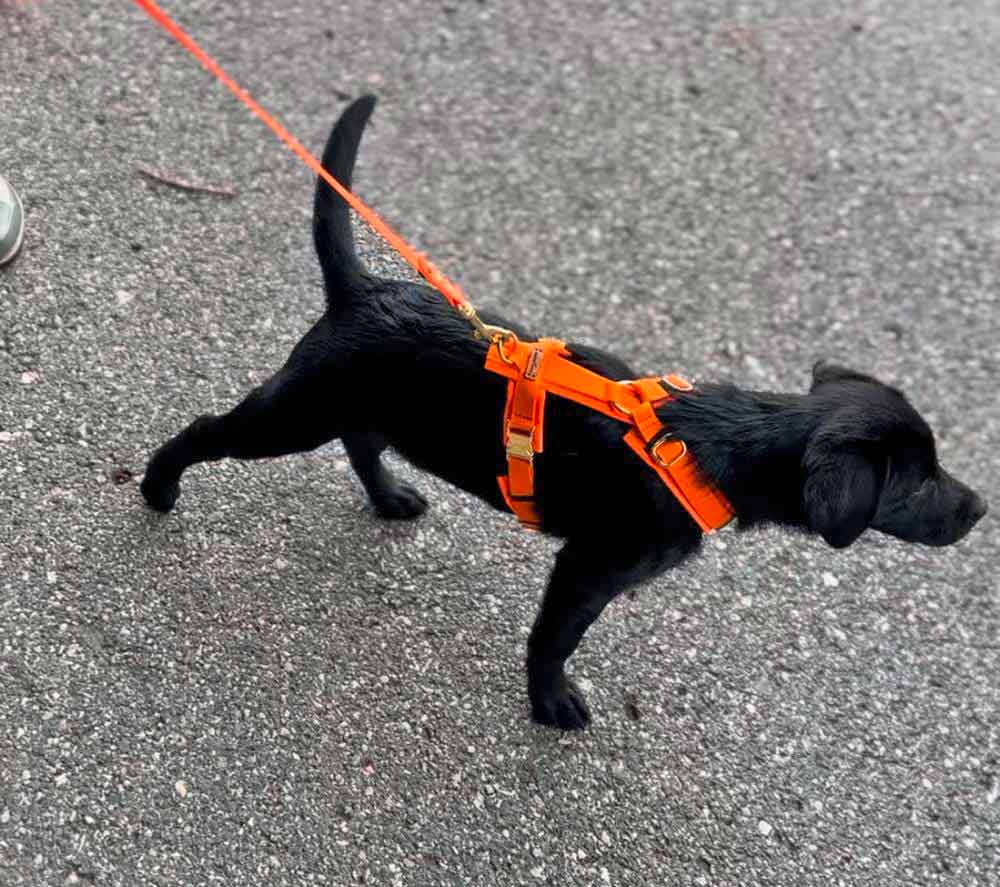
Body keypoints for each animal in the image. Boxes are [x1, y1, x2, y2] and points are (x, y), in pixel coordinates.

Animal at [139, 99, 984, 736]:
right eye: (918, 481)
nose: (980, 508)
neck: (715, 442)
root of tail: (364, 286)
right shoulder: (589, 565)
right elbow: (555, 636)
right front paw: (551, 701)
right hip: (295, 411)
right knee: (210, 427)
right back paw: (157, 487)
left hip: (366, 404)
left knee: (363, 439)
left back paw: (389, 498)